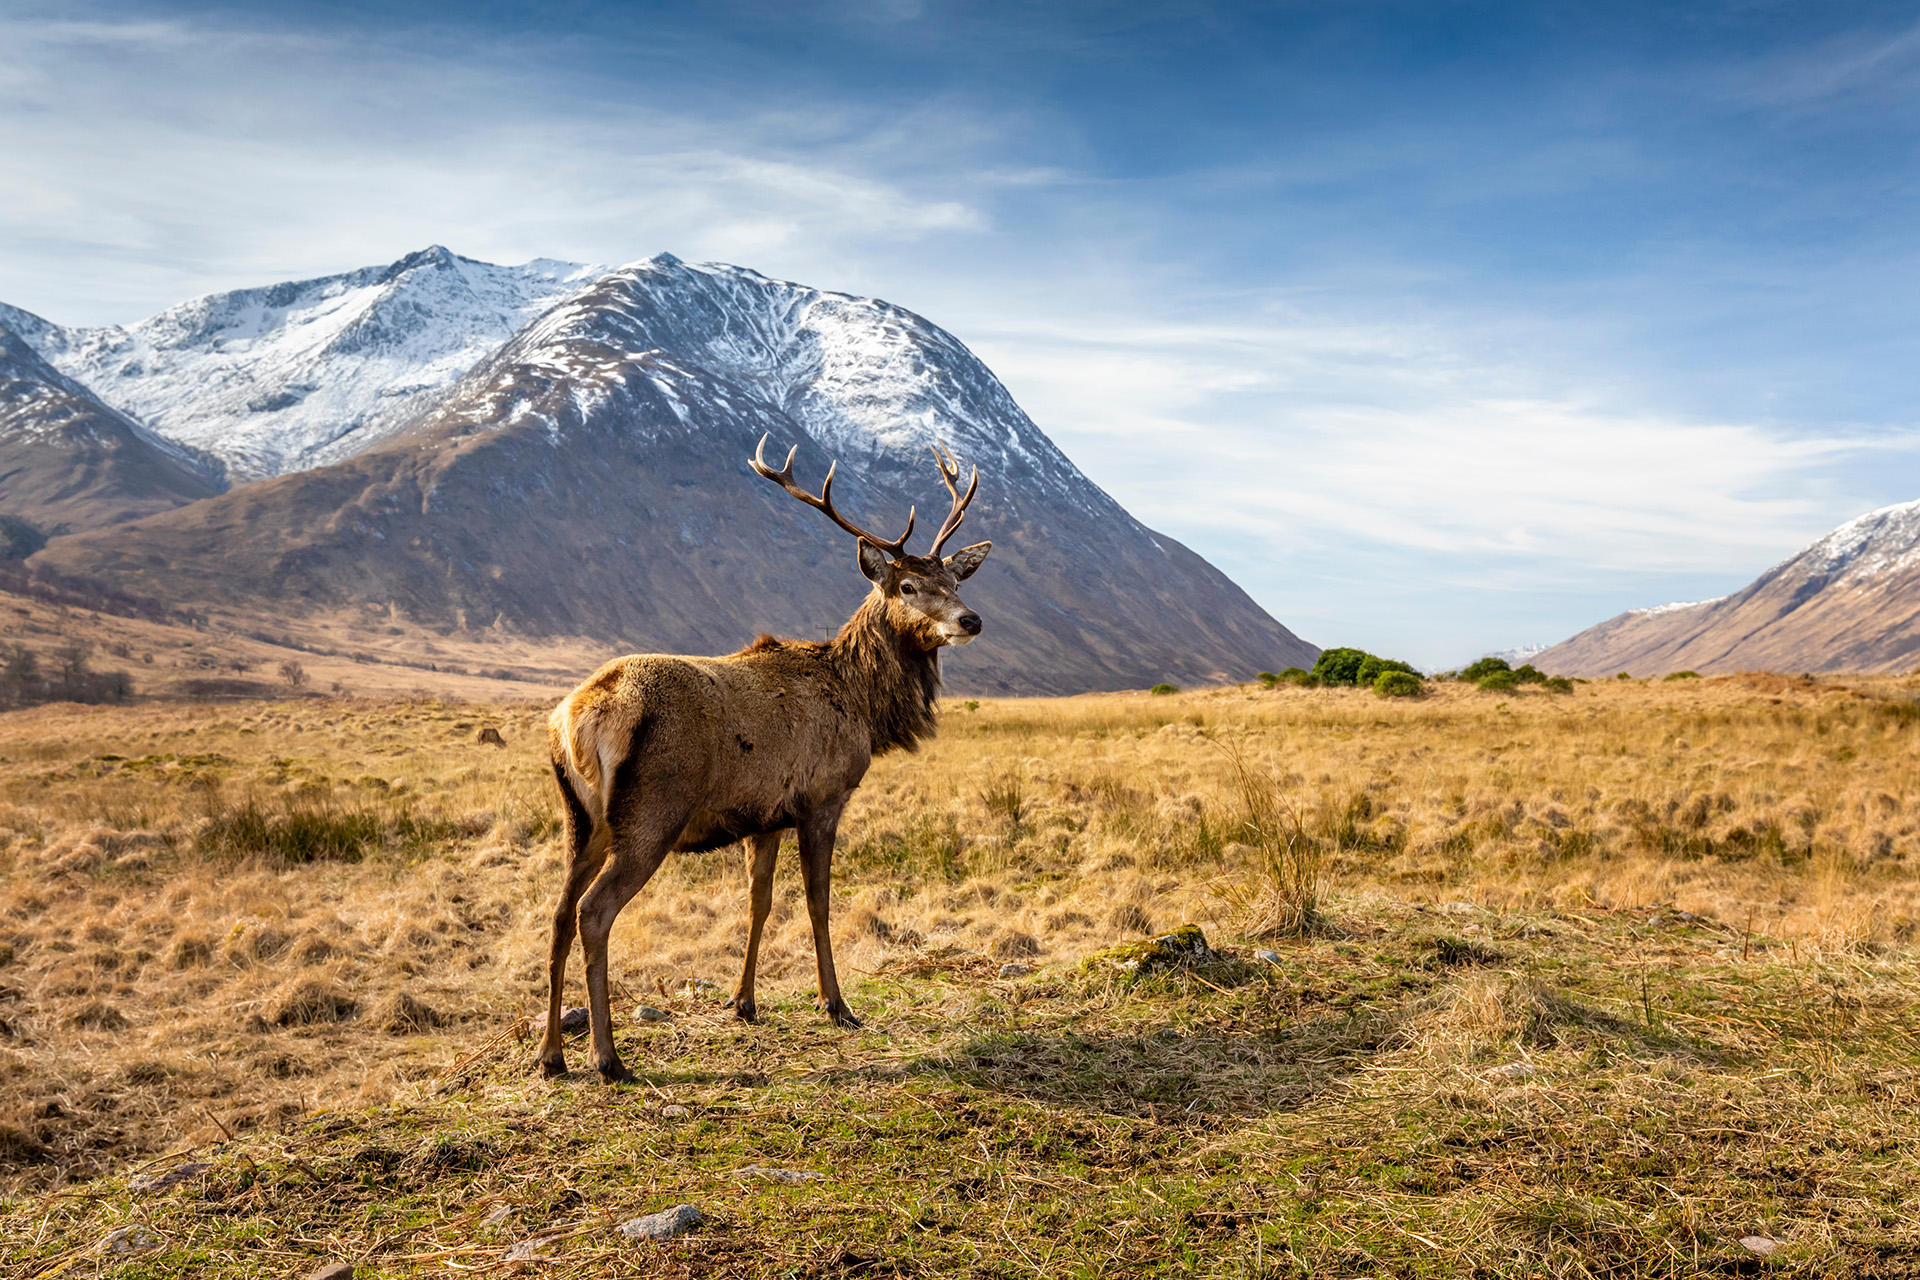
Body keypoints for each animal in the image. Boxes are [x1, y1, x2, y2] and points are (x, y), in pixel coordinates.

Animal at [537, 434, 992, 1083]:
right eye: (906, 586)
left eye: (954, 579)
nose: (970, 618)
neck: (862, 703)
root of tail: (579, 715)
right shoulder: (822, 797)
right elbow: (818, 903)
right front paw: (837, 1005)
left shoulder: (765, 815)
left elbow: (759, 901)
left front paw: (744, 1002)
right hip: (652, 810)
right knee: (593, 912)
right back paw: (607, 1056)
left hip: (580, 818)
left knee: (555, 912)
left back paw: (551, 1054)